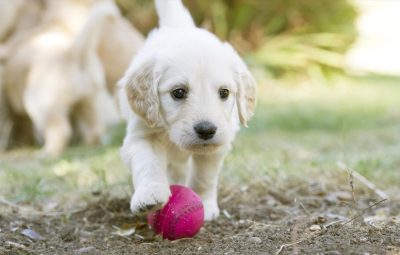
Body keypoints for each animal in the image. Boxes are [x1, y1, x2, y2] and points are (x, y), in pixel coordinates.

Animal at [1, 0, 142, 155]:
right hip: (86, 100)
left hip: (41, 102)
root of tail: (73, 53)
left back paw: (47, 152)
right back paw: (88, 144)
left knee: (60, 129)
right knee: (93, 127)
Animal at [118, 0, 256, 220]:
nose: (206, 130)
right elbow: (148, 163)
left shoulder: (215, 147)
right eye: (179, 92)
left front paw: (205, 204)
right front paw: (150, 195)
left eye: (224, 92)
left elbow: (204, 176)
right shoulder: (141, 135)